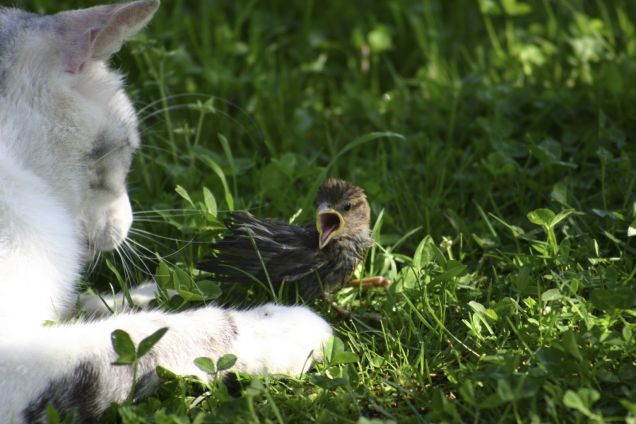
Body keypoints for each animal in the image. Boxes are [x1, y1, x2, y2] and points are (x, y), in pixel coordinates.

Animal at [0, 1, 336, 422]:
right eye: (127, 148)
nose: (127, 222)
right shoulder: (18, 361)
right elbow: (155, 335)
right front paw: (280, 327)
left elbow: (98, 306)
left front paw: (175, 285)